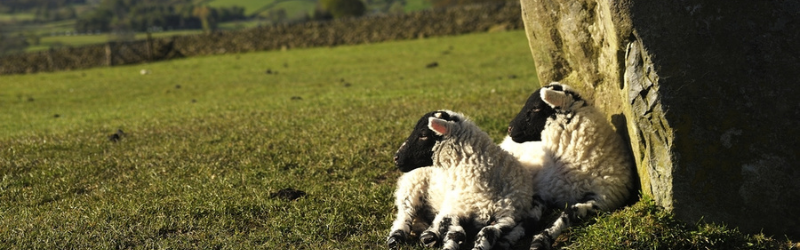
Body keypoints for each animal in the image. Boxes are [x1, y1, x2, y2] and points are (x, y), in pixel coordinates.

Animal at [388, 110, 536, 250]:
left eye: (423, 134)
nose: (396, 158)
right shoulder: (455, 208)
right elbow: (457, 234)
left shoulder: (508, 217)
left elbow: (487, 232)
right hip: (411, 186)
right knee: (405, 213)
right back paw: (395, 238)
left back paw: (429, 235)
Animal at [504, 83, 636, 249]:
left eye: (536, 108)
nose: (509, 129)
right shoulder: (543, 191)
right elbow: (531, 218)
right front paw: (510, 237)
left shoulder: (600, 200)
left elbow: (567, 215)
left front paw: (540, 240)